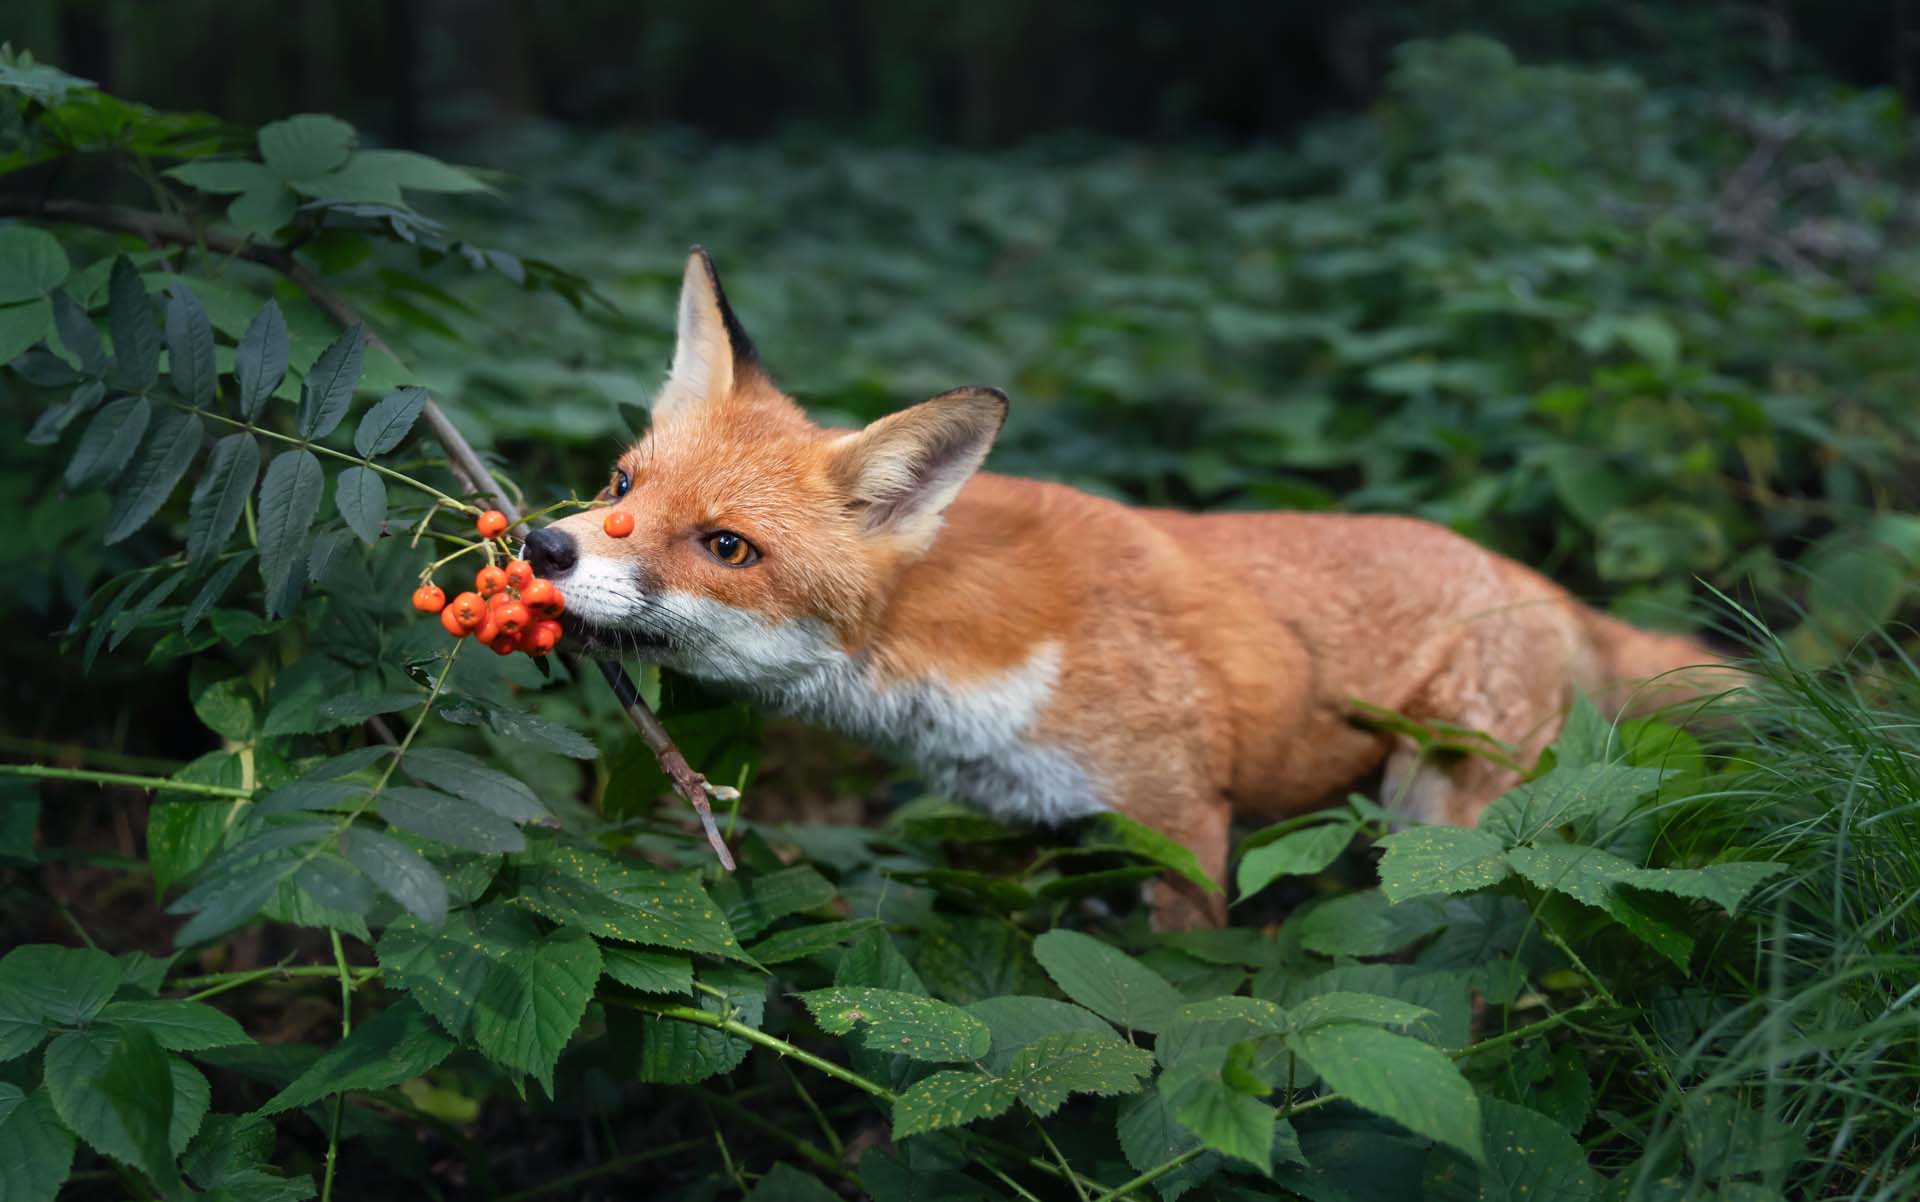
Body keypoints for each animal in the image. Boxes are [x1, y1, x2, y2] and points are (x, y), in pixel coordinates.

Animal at [524, 248, 1726, 928]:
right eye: (621, 485)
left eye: (727, 547)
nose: (542, 547)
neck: (952, 650)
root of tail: (1537, 581)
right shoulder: (1039, 833)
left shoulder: (1183, 815)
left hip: (1445, 818)